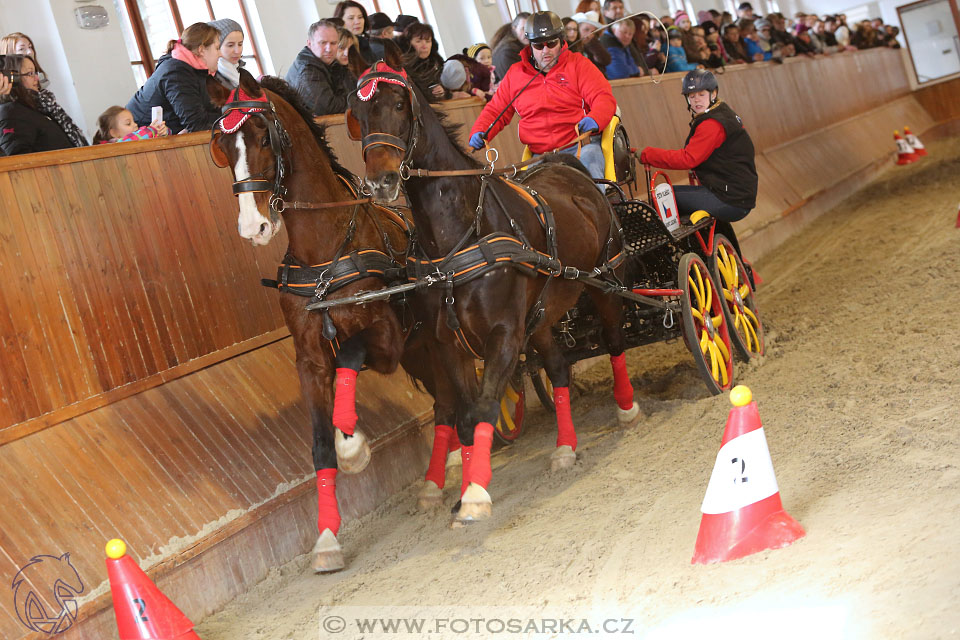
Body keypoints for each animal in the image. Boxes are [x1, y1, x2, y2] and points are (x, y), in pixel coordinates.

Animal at [204, 72, 464, 572]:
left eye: (263, 136)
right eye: (221, 146)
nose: (252, 227)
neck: (324, 252)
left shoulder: (386, 339)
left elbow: (349, 355)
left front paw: (354, 445)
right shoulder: (309, 360)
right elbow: (320, 445)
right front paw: (326, 540)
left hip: (429, 342)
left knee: (454, 392)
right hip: (421, 350)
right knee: (445, 398)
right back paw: (442, 473)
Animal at [348, 56, 640, 524]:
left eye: (397, 104)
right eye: (357, 114)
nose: (381, 181)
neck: (461, 233)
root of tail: (567, 165)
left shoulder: (503, 333)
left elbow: (486, 406)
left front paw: (474, 495)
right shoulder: (449, 342)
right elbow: (467, 417)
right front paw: (466, 486)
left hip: (606, 282)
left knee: (614, 340)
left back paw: (627, 408)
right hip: (541, 316)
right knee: (558, 367)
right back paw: (565, 446)